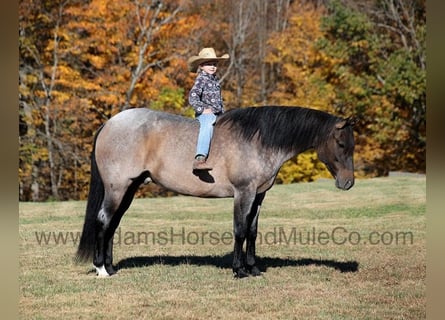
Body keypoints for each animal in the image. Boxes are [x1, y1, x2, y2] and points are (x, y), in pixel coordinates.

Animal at [75, 105, 354, 278]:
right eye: (341, 144)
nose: (348, 183)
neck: (258, 140)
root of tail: (109, 123)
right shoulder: (244, 193)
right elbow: (240, 230)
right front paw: (239, 270)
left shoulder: (259, 195)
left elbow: (252, 232)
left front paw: (253, 269)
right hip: (117, 188)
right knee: (104, 221)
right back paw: (101, 269)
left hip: (129, 189)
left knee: (112, 225)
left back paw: (111, 267)